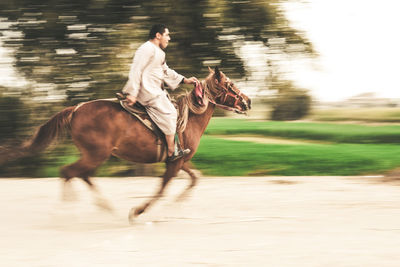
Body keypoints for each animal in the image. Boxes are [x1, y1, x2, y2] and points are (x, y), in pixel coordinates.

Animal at [8, 67, 250, 222]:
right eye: (230, 85)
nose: (247, 101)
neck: (189, 118)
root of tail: (76, 109)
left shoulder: (182, 160)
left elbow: (194, 178)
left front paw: (178, 202)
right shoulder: (174, 162)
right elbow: (162, 189)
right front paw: (139, 211)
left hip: (93, 154)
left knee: (81, 174)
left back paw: (104, 206)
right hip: (96, 154)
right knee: (68, 172)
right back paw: (65, 212)